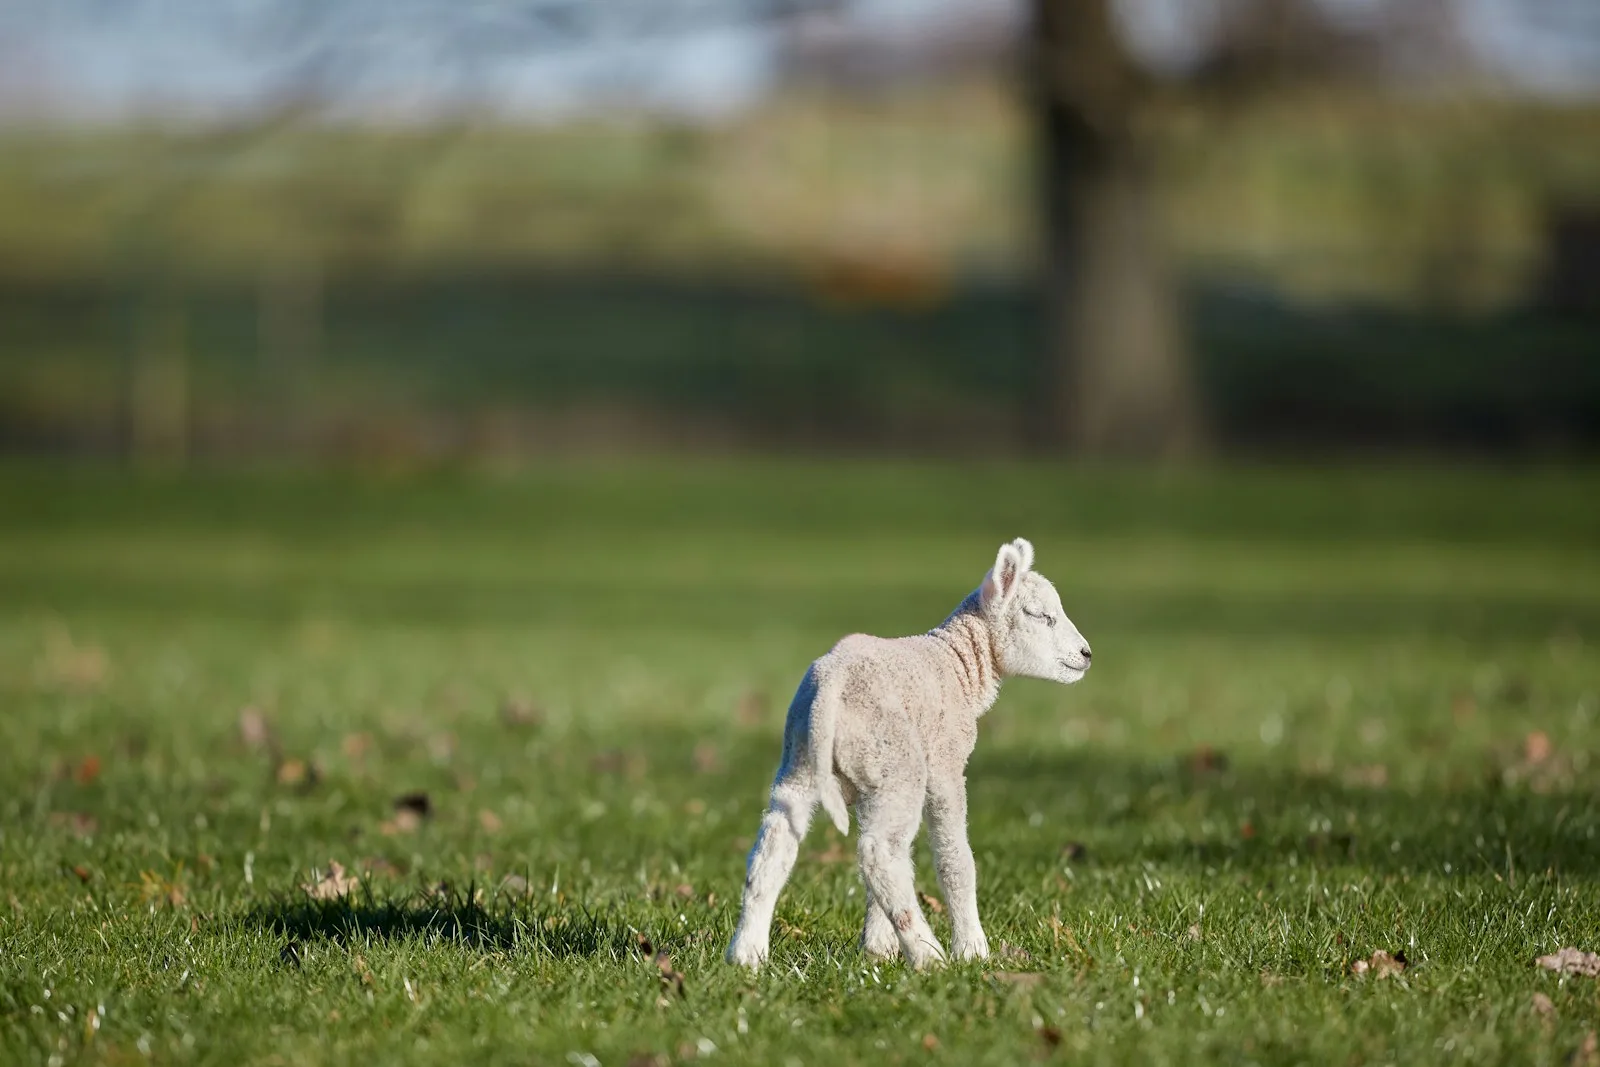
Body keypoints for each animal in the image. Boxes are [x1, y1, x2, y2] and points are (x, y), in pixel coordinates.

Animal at [726, 537, 1092, 970]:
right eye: (1040, 615)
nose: (1087, 654)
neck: (960, 665)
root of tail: (833, 684)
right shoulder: (946, 763)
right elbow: (954, 859)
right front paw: (972, 949)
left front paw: (877, 949)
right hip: (898, 763)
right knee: (878, 854)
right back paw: (929, 955)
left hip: (805, 760)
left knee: (776, 845)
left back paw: (747, 954)